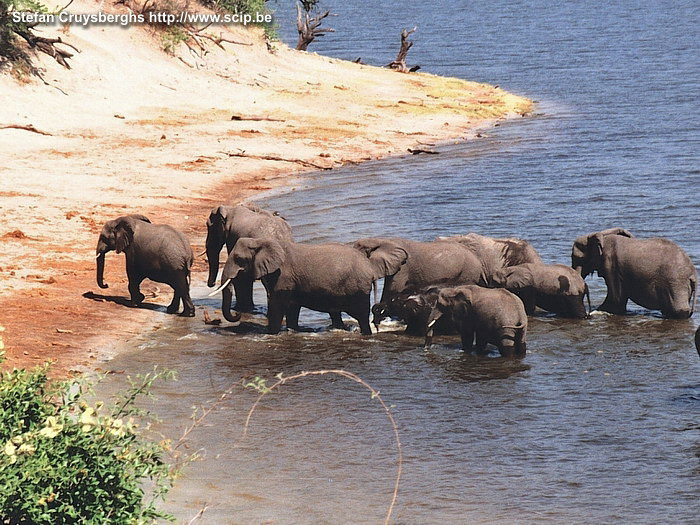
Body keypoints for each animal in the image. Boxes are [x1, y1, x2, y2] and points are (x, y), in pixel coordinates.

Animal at [216, 236, 408, 332]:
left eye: (239, 259)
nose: (237, 315)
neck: (262, 241)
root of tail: (368, 265)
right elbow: (291, 308)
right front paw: (292, 330)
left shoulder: (283, 277)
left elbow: (278, 306)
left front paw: (272, 334)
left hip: (358, 289)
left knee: (361, 316)